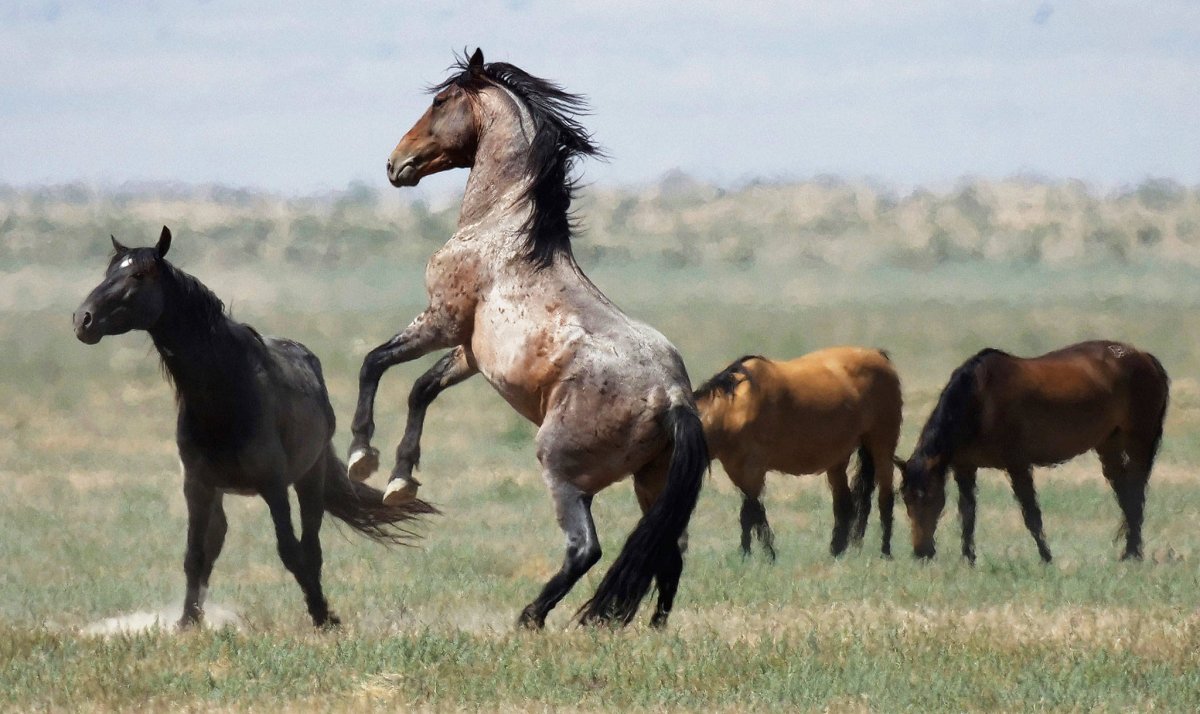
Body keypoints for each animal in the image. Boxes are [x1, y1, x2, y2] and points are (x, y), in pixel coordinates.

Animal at [72, 227, 436, 628]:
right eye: (109, 272)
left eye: (138, 275)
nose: (82, 319)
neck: (227, 391)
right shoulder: (197, 486)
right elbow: (195, 555)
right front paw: (186, 623)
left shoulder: (273, 486)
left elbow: (291, 551)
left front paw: (322, 614)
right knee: (216, 543)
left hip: (309, 477)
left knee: (311, 545)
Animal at [344, 49, 708, 629]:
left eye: (440, 101)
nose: (395, 164)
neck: (504, 230)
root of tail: (674, 398)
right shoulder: (469, 353)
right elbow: (421, 390)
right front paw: (401, 481)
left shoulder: (440, 322)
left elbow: (374, 363)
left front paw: (362, 455)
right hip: (650, 485)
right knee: (666, 552)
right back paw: (650, 630)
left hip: (561, 471)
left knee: (587, 549)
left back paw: (531, 617)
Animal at [693, 349, 903, 560]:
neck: (733, 410)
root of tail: (878, 355)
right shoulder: (737, 471)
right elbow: (753, 513)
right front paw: (754, 554)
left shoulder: (753, 470)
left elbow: (750, 513)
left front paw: (760, 555)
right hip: (838, 460)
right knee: (845, 504)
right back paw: (836, 552)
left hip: (882, 448)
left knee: (885, 499)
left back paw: (885, 552)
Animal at [896, 341, 1169, 563]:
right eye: (905, 498)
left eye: (929, 497)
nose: (921, 553)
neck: (980, 401)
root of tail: (1146, 357)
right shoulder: (965, 468)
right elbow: (967, 514)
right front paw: (968, 558)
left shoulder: (1017, 465)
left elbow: (1031, 514)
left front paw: (1046, 557)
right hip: (1108, 444)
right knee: (1125, 494)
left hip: (1139, 441)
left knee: (1136, 494)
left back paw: (1133, 554)